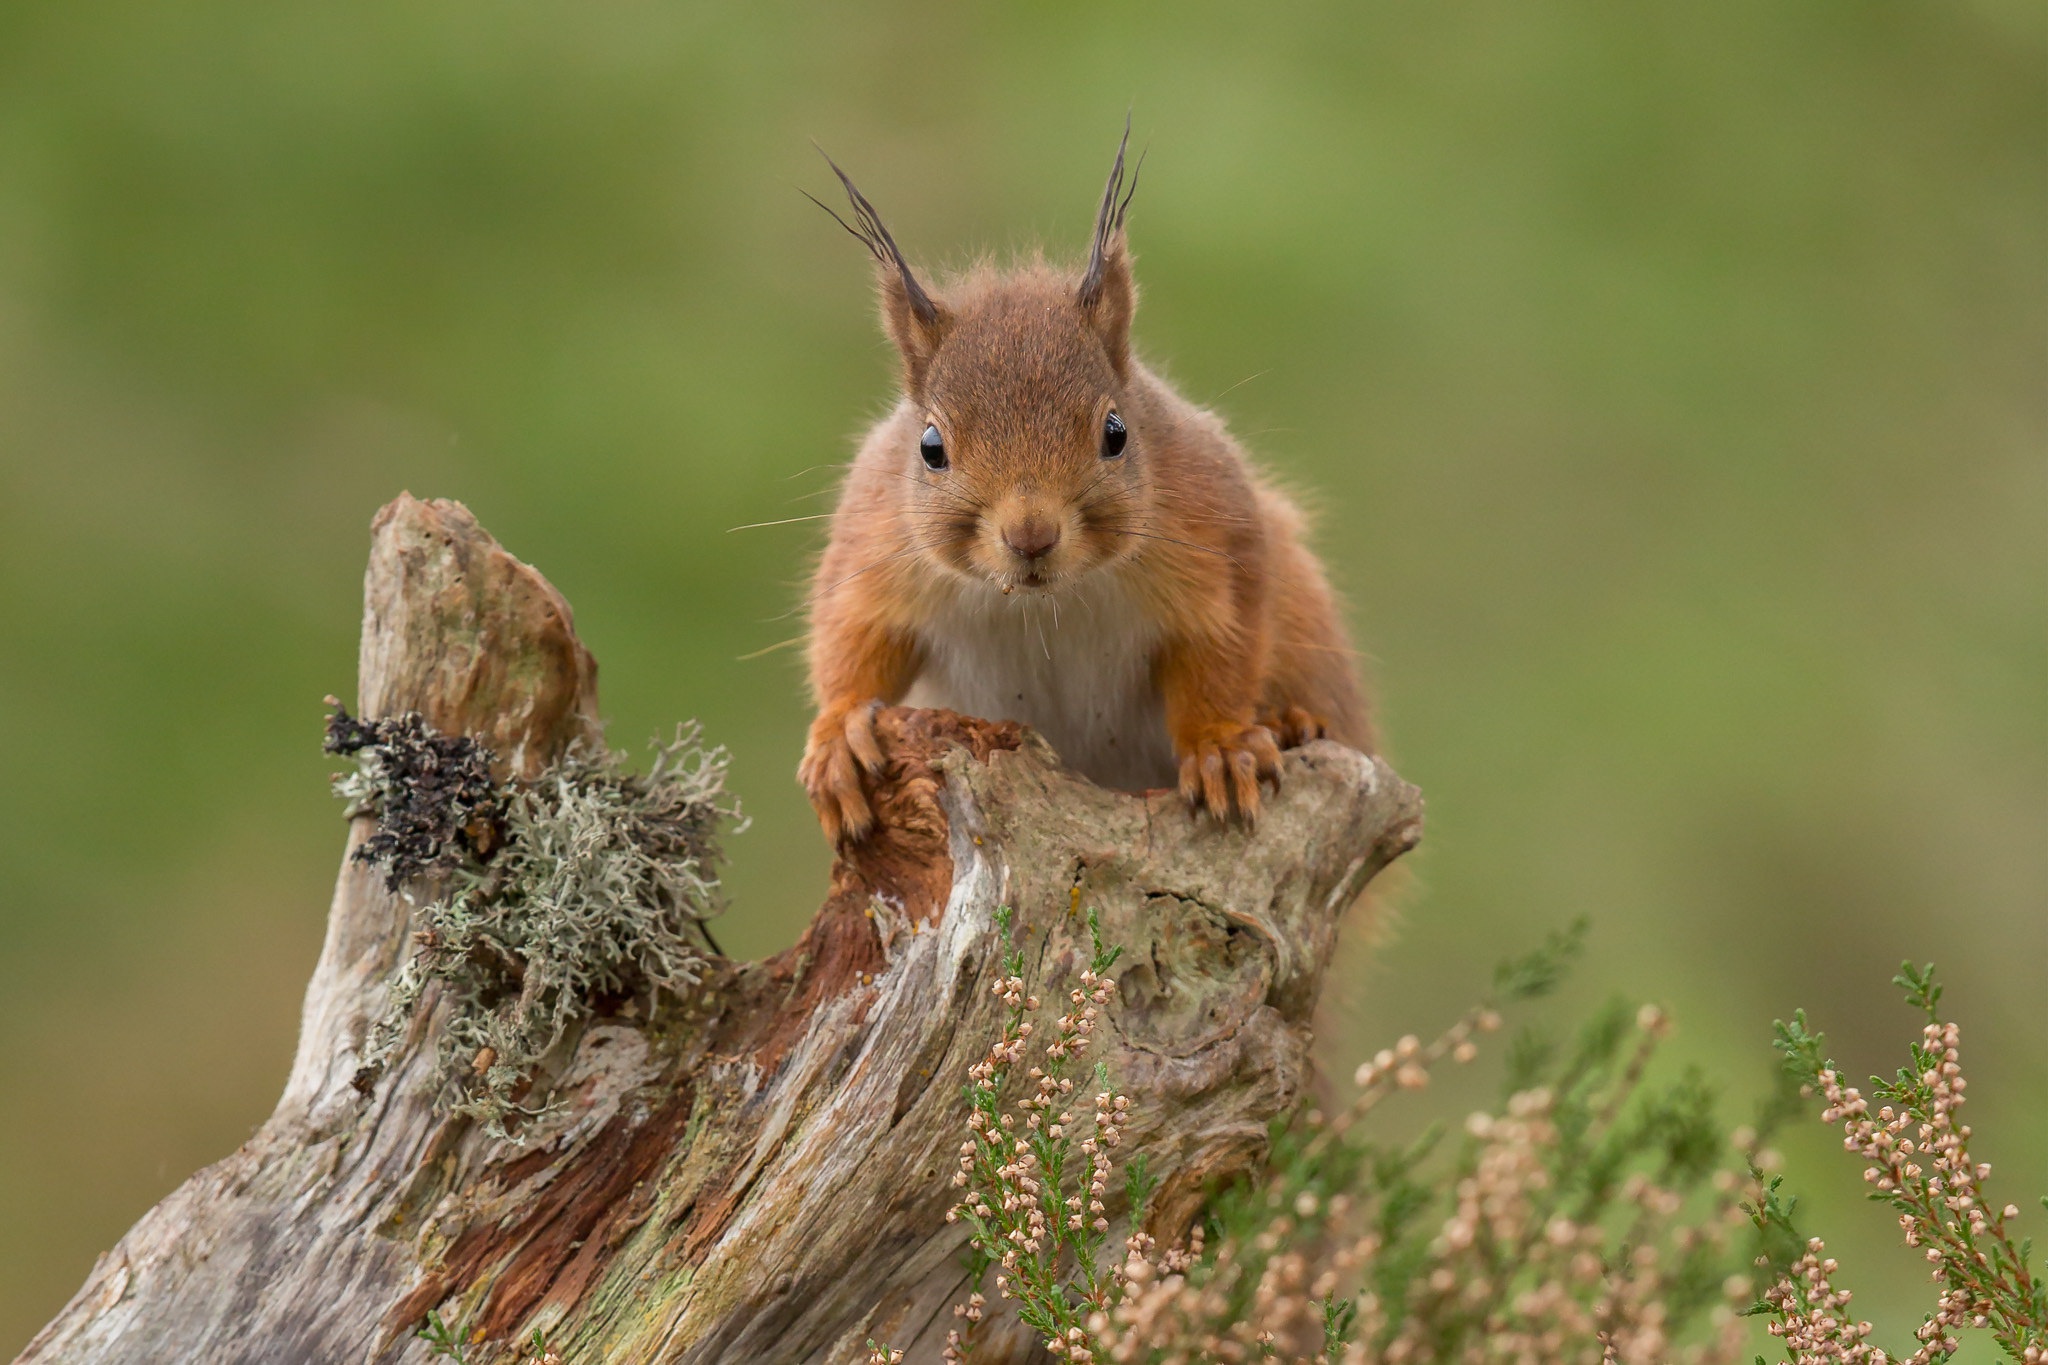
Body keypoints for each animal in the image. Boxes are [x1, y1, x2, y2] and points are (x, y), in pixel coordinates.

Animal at [798, 133, 1376, 847]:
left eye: (1116, 431)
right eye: (930, 447)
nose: (1031, 535)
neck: (1042, 604)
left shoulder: (1219, 533)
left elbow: (1221, 650)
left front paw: (1219, 746)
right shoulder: (872, 545)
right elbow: (851, 639)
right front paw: (840, 737)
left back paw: (1291, 722)